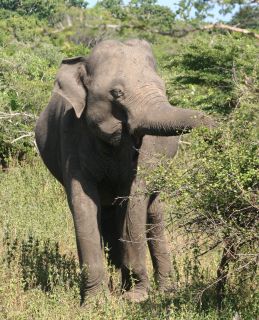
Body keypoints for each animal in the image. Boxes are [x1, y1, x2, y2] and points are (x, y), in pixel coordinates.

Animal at [35, 38, 215, 304]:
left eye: (163, 88)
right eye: (117, 93)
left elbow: (132, 201)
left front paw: (134, 297)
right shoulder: (70, 134)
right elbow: (83, 203)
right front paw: (95, 303)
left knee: (153, 214)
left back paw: (165, 291)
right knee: (110, 213)